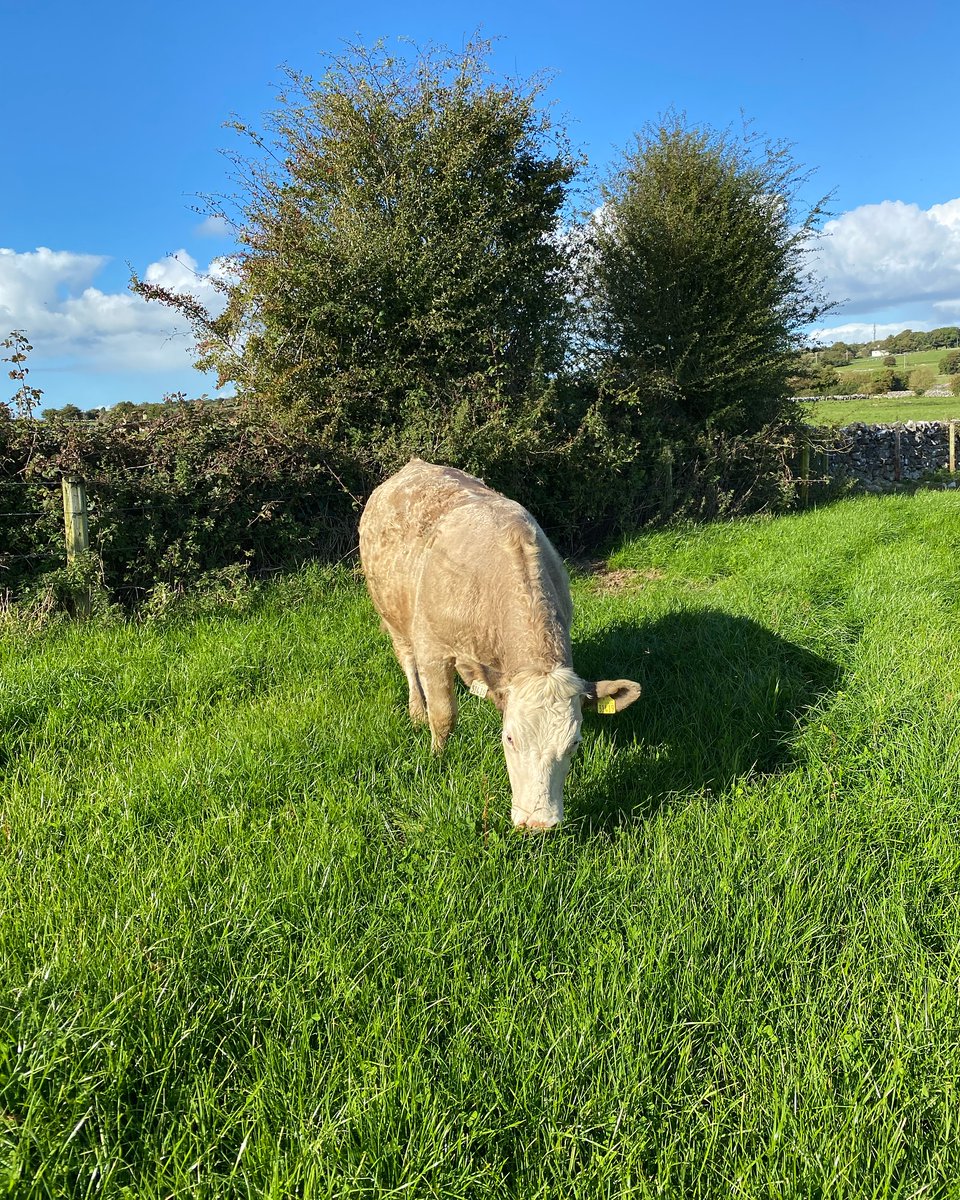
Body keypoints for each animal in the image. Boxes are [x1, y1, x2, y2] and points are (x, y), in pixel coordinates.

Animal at [358, 459, 641, 829]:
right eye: (509, 738)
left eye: (574, 743)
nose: (538, 824)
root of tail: (413, 465)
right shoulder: (432, 647)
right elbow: (443, 715)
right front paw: (437, 757)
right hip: (392, 614)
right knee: (407, 661)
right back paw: (416, 710)